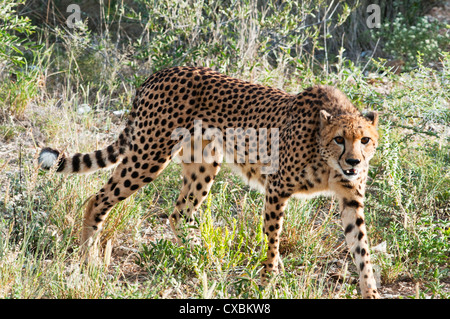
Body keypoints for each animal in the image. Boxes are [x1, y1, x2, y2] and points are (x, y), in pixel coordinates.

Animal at [38, 66, 380, 298]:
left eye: (365, 139)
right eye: (339, 139)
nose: (354, 162)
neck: (326, 158)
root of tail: (162, 71)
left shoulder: (351, 199)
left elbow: (362, 250)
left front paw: (371, 292)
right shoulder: (277, 188)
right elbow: (272, 240)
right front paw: (268, 280)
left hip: (203, 164)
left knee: (179, 214)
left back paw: (198, 257)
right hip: (149, 155)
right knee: (98, 199)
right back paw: (90, 260)